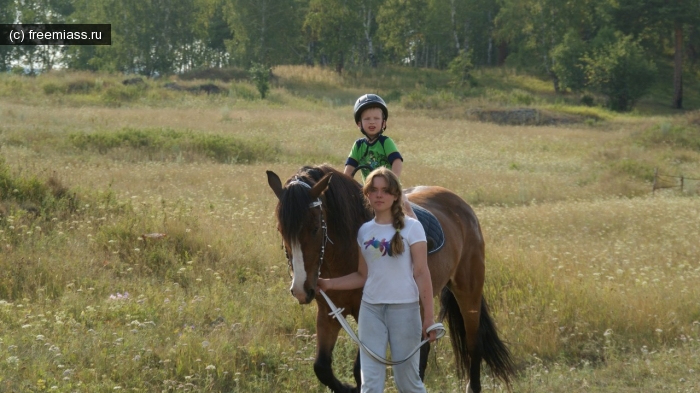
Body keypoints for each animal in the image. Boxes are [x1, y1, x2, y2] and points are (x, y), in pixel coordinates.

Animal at [266, 164, 516, 390]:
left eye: (316, 227)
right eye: (280, 229)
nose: (301, 290)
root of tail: (463, 207)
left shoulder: (365, 314)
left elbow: (360, 370)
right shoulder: (328, 313)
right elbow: (322, 368)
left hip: (468, 293)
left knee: (474, 343)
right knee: (422, 348)